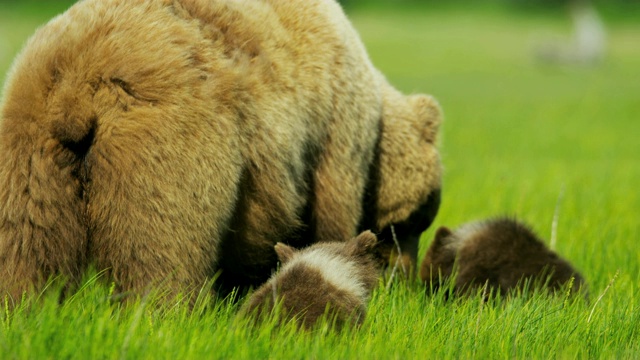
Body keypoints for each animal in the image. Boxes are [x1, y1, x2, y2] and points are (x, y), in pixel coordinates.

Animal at [0, 0, 442, 302]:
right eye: (417, 219)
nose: (405, 280)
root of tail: (77, 88)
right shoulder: (333, 134)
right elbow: (331, 217)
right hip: (172, 140)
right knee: (161, 246)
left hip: (30, 149)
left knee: (25, 246)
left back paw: (25, 312)